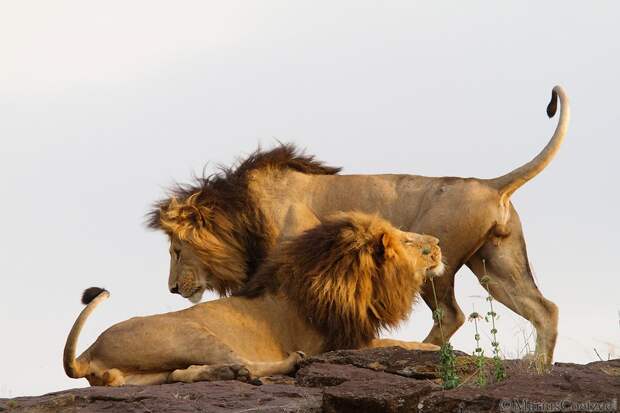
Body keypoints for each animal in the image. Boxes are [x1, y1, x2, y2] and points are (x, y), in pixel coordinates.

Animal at [63, 212, 444, 386]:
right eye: (406, 241)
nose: (438, 243)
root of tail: (89, 354)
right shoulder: (336, 343)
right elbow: (397, 343)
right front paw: (437, 349)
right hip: (192, 334)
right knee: (242, 361)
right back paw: (279, 364)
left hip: (144, 375)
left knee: (179, 375)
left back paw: (232, 372)